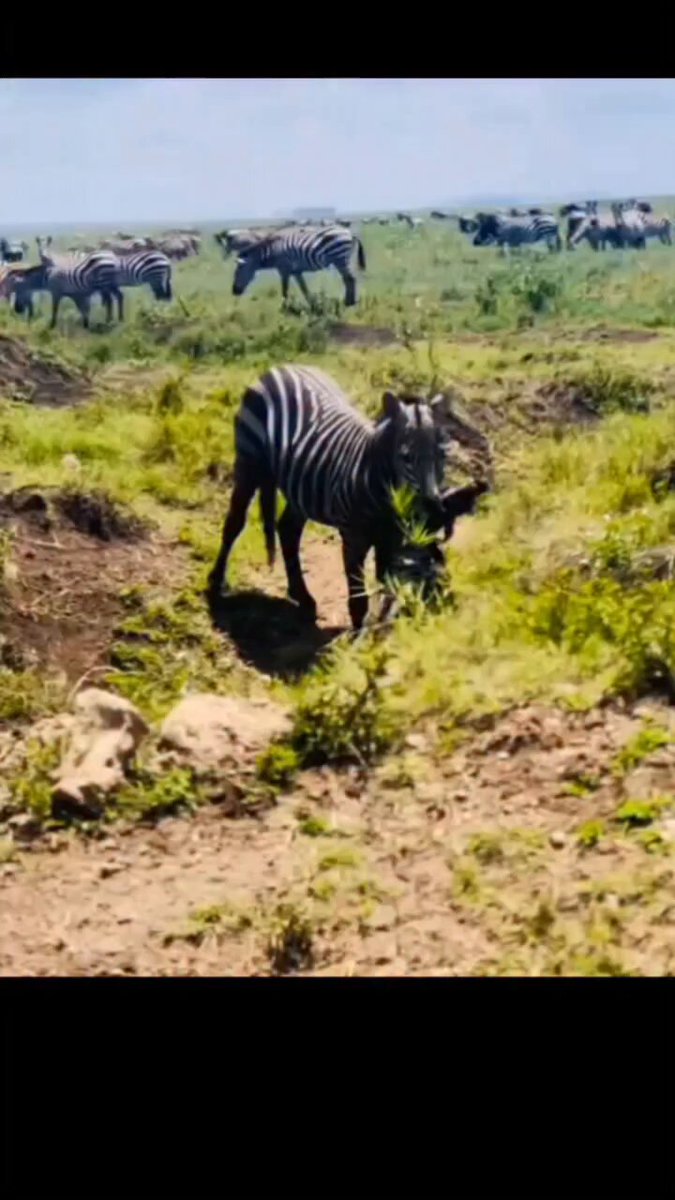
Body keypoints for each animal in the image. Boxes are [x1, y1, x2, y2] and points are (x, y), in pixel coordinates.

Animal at [207, 364, 491, 630]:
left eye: (443, 455)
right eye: (405, 457)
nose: (432, 506)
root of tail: (282, 367)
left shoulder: (390, 537)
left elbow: (387, 584)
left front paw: (381, 630)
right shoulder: (354, 538)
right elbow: (359, 598)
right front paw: (357, 637)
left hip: (301, 488)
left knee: (287, 530)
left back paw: (302, 596)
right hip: (249, 461)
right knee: (235, 522)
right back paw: (216, 583)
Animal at [231, 225, 367, 308]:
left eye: (237, 272)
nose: (234, 291)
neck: (273, 250)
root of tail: (350, 233)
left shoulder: (284, 269)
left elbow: (284, 290)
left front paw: (284, 309)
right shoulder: (296, 271)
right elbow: (304, 289)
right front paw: (312, 304)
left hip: (340, 258)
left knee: (350, 279)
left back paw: (349, 303)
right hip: (341, 260)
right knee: (348, 279)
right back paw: (348, 302)